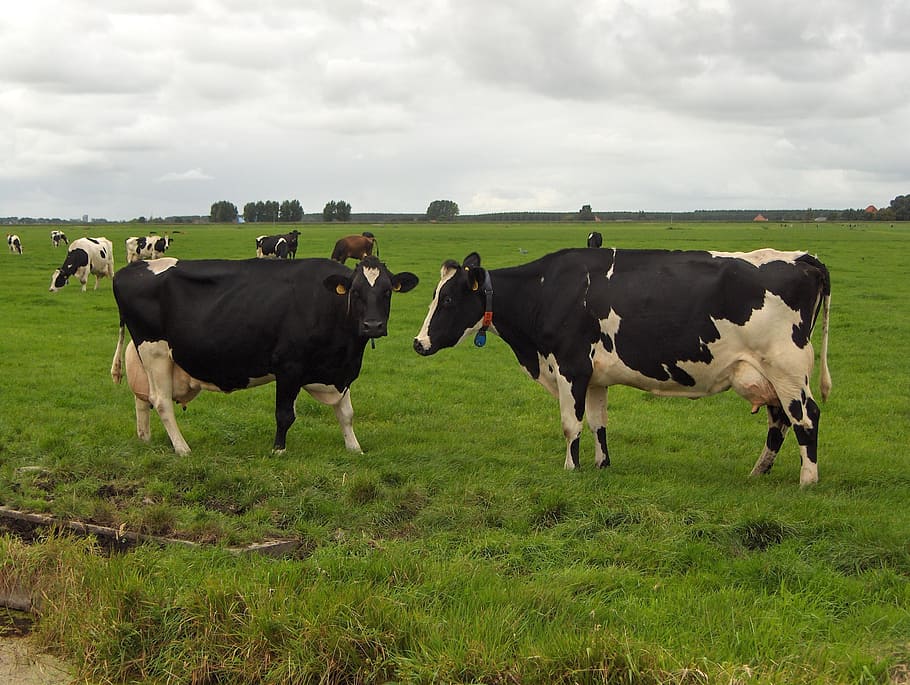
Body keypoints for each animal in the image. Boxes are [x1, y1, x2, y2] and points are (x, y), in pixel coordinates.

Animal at [110, 255, 419, 455]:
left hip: (146, 357)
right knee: (161, 401)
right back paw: (182, 448)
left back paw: (146, 440)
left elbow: (346, 413)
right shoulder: (289, 366)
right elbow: (285, 414)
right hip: (156, 352)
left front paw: (354, 448)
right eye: (355, 291)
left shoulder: (340, 371)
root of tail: (129, 268)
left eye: (388, 291)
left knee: (142, 400)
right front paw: (278, 450)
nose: (373, 325)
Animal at [414, 248, 832, 487]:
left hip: (787, 366)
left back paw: (807, 480)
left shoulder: (570, 367)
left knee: (805, 416)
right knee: (780, 420)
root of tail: (803, 259)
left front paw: (570, 469)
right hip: (766, 373)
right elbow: (597, 423)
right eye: (434, 296)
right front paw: (601, 465)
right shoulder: (595, 377)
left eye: (447, 300)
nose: (419, 343)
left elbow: (570, 424)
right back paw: (758, 473)